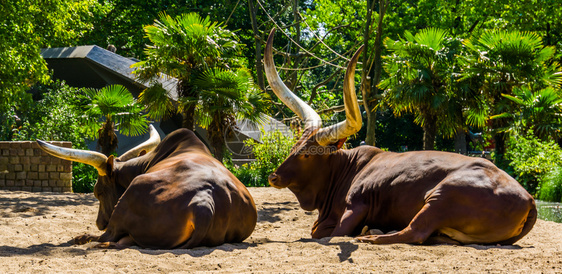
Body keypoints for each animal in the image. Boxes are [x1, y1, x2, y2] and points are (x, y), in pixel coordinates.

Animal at [38, 125, 258, 249]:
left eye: (98, 192)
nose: (99, 222)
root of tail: (204, 202)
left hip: (131, 195)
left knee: (107, 236)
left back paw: (82, 238)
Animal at [262, 28, 532, 245]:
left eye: (308, 154)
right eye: (294, 147)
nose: (273, 177)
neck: (345, 169)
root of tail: (528, 198)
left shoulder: (357, 205)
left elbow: (329, 233)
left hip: (441, 197)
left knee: (414, 232)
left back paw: (371, 235)